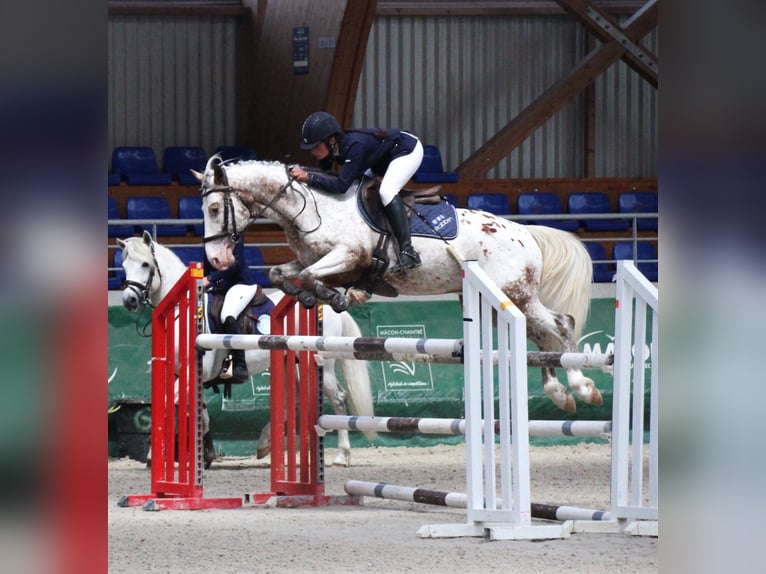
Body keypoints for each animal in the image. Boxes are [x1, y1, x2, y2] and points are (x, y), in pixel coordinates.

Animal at [117, 232, 378, 470]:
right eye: (124, 266)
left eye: (145, 264)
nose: (129, 300)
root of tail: (330, 306)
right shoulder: (188, 374)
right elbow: (201, 414)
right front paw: (206, 455)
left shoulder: (193, 372)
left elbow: (167, 405)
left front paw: (153, 456)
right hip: (291, 361)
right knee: (294, 400)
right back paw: (266, 443)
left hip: (320, 363)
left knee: (338, 398)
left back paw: (342, 455)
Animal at [195, 155, 604, 414]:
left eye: (214, 209)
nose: (217, 261)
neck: (309, 207)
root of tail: (525, 232)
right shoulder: (318, 259)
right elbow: (283, 274)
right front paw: (311, 296)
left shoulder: (349, 255)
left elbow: (312, 276)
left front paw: (335, 297)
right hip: (502, 302)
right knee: (539, 336)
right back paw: (559, 394)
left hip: (515, 294)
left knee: (561, 324)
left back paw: (582, 387)